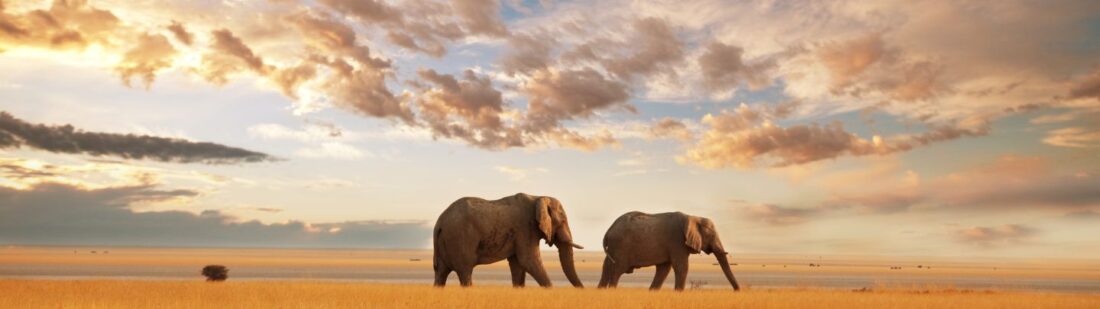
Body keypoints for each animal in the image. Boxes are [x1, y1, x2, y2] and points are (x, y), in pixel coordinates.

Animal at [431, 192, 585, 285]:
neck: (538, 197)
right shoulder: (525, 228)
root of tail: (439, 222)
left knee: (441, 273)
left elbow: (518, 265)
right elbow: (529, 261)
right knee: (465, 272)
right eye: (562, 221)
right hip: (460, 238)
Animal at [598, 210, 743, 290]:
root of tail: (608, 230)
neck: (693, 217)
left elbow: (664, 269)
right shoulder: (676, 242)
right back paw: (612, 291)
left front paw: (652, 292)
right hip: (621, 247)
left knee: (606, 268)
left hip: (613, 247)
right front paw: (678, 293)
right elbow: (681, 267)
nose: (737, 290)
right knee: (617, 270)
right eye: (711, 235)